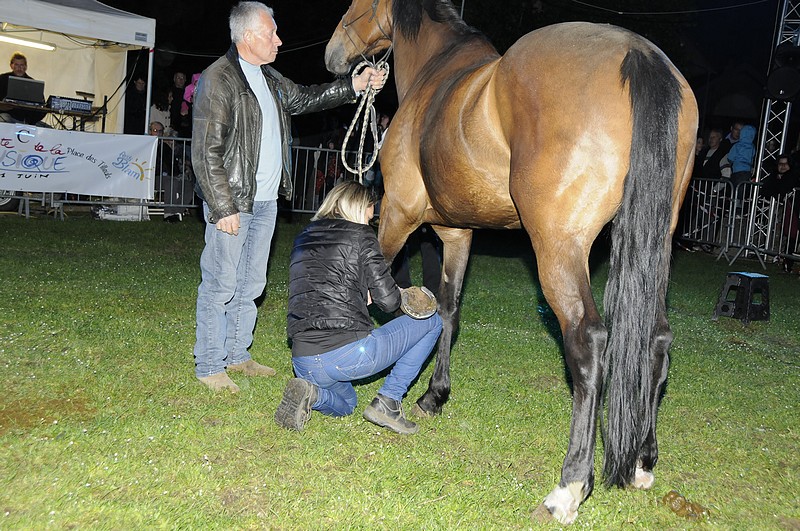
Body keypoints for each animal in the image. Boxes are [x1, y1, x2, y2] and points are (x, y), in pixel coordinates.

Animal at [325, 0, 698, 524]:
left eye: (354, 6)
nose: (333, 53)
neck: (437, 73)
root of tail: (639, 54)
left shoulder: (397, 215)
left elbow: (383, 297)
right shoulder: (457, 233)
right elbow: (447, 312)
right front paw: (435, 395)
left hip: (558, 248)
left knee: (588, 342)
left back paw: (569, 486)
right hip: (656, 245)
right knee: (657, 340)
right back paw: (643, 461)